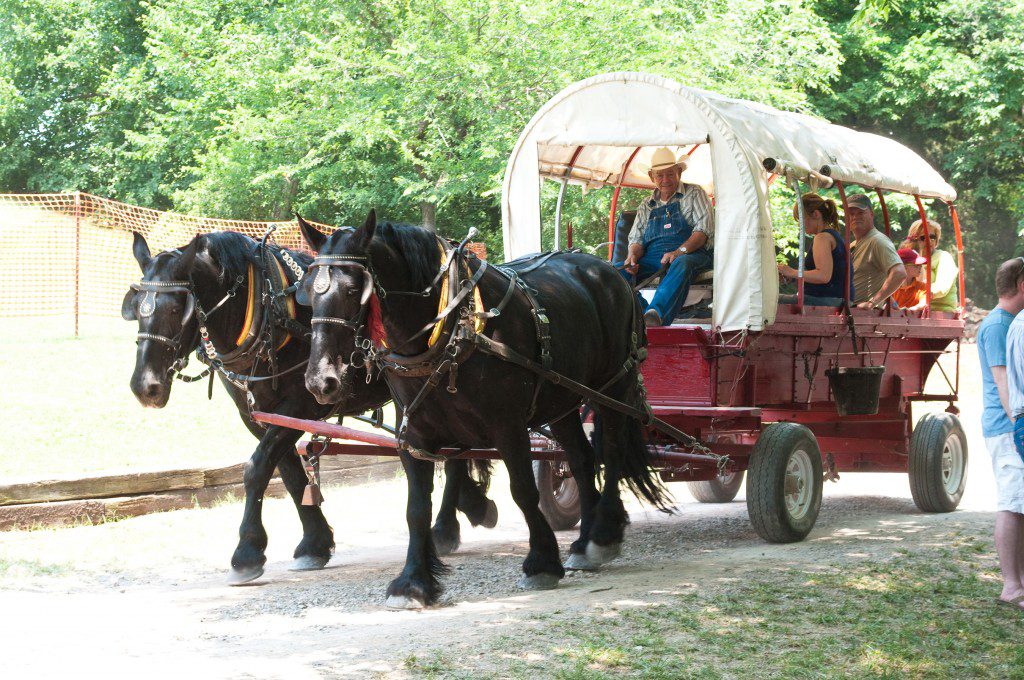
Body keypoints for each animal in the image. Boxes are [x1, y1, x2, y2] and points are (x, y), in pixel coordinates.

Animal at [121, 231, 497, 581]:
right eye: (136, 307)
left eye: (175, 308)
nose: (145, 387)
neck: (266, 311)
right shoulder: (258, 416)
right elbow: (288, 474)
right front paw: (315, 543)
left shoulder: (302, 407)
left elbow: (256, 469)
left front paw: (247, 552)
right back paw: (468, 506)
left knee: (450, 453)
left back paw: (448, 524)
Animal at [296, 210, 667, 606]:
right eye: (309, 294)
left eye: (354, 290)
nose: (320, 381)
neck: (453, 326)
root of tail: (611, 271)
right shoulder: (415, 436)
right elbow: (416, 508)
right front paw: (413, 581)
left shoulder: (508, 425)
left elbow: (523, 490)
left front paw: (541, 562)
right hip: (563, 398)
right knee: (581, 460)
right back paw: (583, 543)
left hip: (613, 386)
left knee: (610, 452)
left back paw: (603, 534)